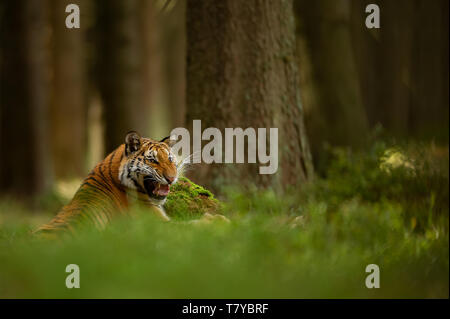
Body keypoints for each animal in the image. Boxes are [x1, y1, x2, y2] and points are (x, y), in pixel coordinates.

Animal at [33, 131, 220, 239]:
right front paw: (219, 220)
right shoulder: (159, 226)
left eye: (170, 159)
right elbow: (194, 225)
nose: (172, 178)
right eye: (153, 160)